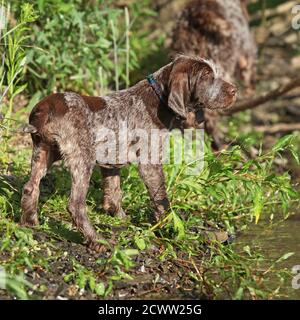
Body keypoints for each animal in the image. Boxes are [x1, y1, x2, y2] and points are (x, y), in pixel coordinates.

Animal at [21, 54, 237, 250]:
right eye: (207, 76)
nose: (235, 90)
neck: (158, 100)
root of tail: (44, 109)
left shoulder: (110, 161)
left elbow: (114, 191)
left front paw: (119, 217)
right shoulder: (150, 163)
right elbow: (162, 200)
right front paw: (171, 229)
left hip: (43, 151)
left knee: (30, 187)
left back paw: (30, 222)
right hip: (82, 158)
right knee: (75, 205)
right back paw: (97, 241)